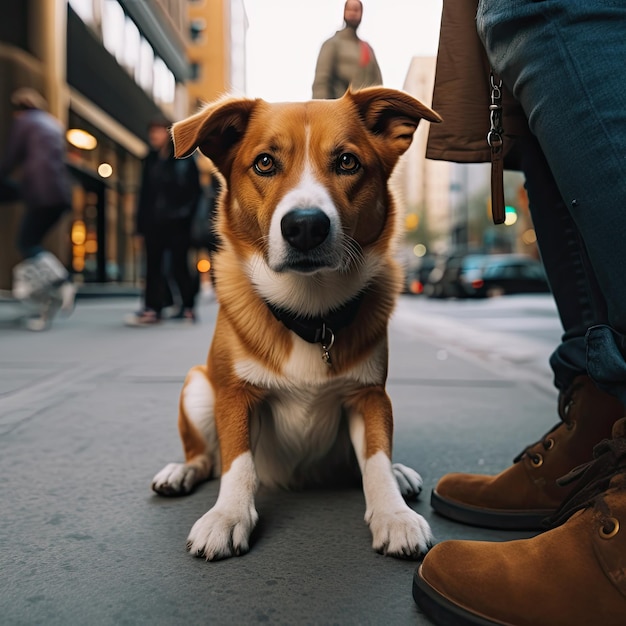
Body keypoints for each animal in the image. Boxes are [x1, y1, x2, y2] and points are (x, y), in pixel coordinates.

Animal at [151, 85, 442, 560]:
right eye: (265, 163)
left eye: (347, 161)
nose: (305, 227)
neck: (310, 314)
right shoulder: (235, 396)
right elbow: (237, 462)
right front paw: (228, 515)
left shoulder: (369, 395)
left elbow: (376, 458)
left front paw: (393, 513)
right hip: (197, 386)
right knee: (206, 458)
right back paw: (181, 471)